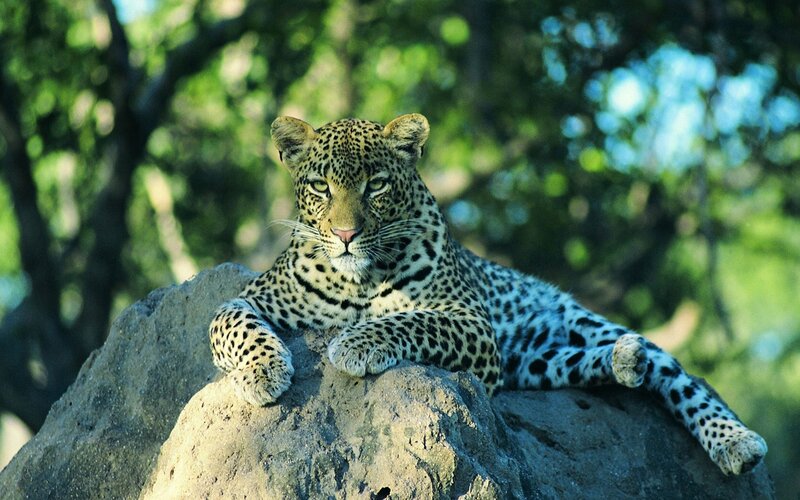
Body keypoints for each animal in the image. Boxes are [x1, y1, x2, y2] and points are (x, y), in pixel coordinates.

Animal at [208, 113, 767, 476]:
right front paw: (263, 373)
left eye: (377, 185)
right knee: (583, 364)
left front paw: (355, 343)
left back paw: (734, 440)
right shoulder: (251, 297)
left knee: (681, 379)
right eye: (321, 187)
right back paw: (624, 362)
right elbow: (233, 324)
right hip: (532, 363)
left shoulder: (469, 321)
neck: (357, 279)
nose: (346, 234)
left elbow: (409, 319)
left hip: (582, 322)